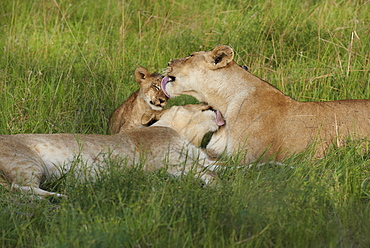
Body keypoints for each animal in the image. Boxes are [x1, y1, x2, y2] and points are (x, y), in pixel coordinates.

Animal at [0, 103, 223, 197]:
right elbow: (210, 174)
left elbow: (222, 166)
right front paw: (223, 189)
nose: (208, 102)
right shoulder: (170, 162)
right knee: (19, 188)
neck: (185, 135)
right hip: (27, 163)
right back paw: (61, 197)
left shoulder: (200, 158)